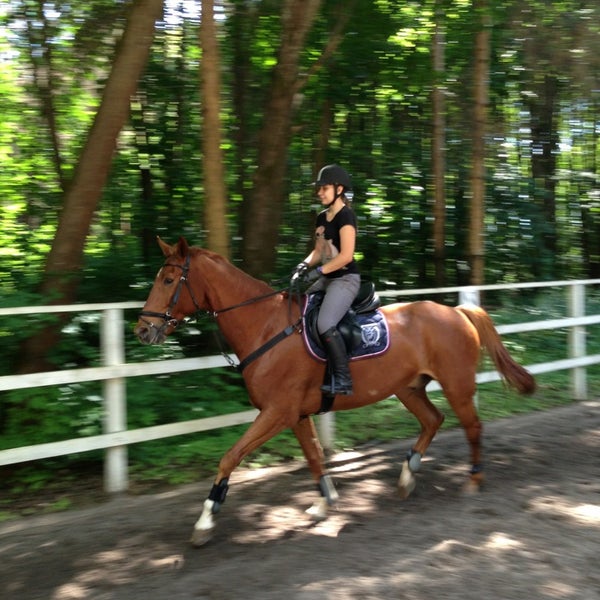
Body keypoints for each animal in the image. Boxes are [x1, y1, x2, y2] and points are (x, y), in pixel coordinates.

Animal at [135, 237, 536, 548]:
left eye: (169, 279)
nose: (142, 330)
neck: (266, 328)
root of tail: (456, 311)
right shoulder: (294, 414)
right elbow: (314, 457)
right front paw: (324, 502)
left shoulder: (277, 412)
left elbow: (229, 457)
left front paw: (205, 521)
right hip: (408, 389)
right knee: (433, 420)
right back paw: (407, 477)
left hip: (456, 385)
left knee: (472, 426)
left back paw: (473, 480)